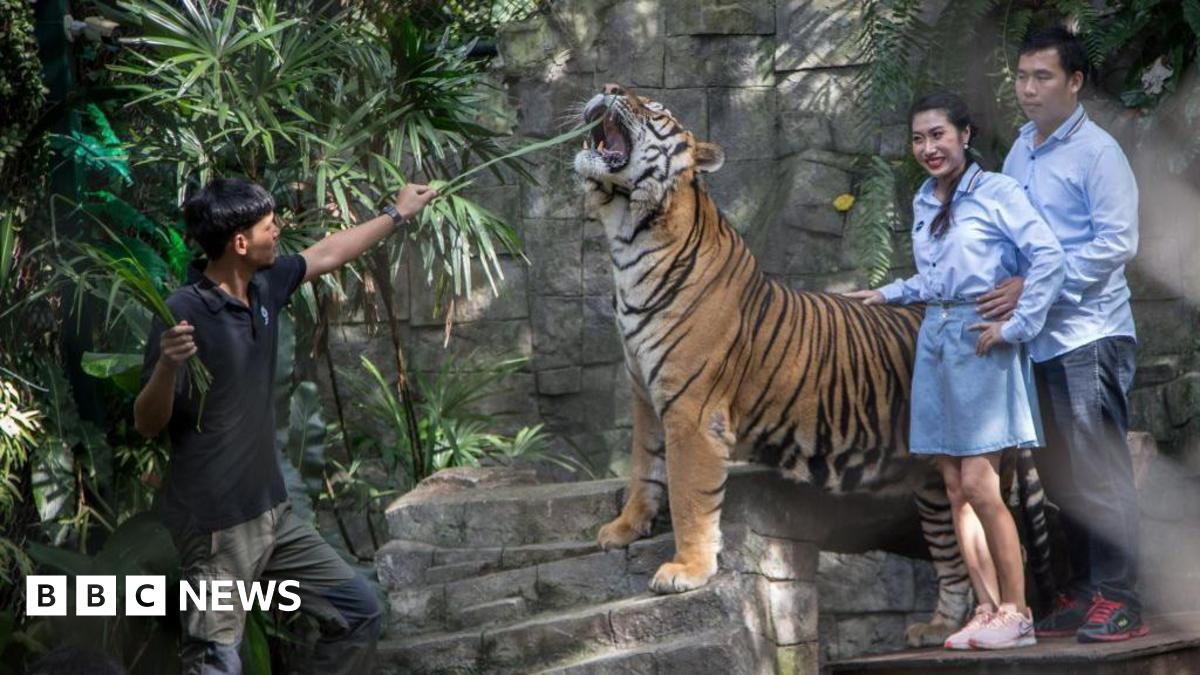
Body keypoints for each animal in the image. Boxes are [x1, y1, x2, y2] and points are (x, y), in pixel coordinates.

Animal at [572, 83, 1053, 646]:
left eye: (655, 109)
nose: (608, 88)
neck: (631, 237)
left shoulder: (692, 412)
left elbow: (689, 494)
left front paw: (685, 569)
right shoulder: (645, 396)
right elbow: (643, 468)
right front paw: (624, 528)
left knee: (1010, 542)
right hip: (934, 484)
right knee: (955, 553)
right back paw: (936, 627)